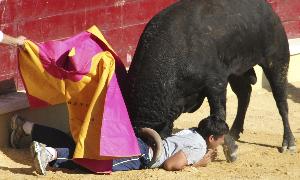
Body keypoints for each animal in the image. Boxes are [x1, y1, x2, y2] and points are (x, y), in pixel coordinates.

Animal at [123, 0, 296, 162]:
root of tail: (268, 8)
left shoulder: (216, 83)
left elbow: (219, 114)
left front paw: (230, 151)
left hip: (277, 60)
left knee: (281, 100)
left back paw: (289, 142)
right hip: (237, 71)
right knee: (244, 95)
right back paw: (235, 131)